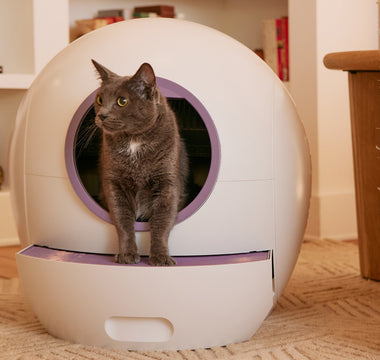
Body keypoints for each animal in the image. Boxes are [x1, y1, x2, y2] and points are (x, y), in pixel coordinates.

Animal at [91, 60, 188, 266]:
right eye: (100, 100)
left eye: (122, 101)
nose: (102, 115)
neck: (134, 141)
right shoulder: (114, 183)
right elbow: (122, 219)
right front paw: (126, 254)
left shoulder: (167, 182)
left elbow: (162, 220)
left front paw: (161, 257)